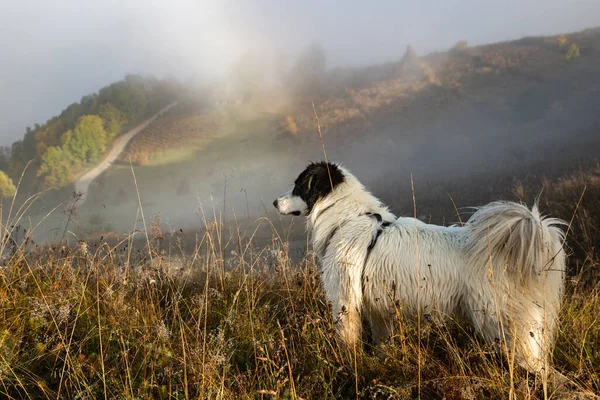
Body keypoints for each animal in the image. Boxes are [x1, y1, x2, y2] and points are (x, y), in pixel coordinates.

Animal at [274, 161, 564, 374]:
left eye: (298, 187)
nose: (275, 202)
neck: (347, 219)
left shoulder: (344, 302)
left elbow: (347, 341)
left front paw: (348, 366)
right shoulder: (378, 310)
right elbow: (382, 341)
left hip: (500, 323)